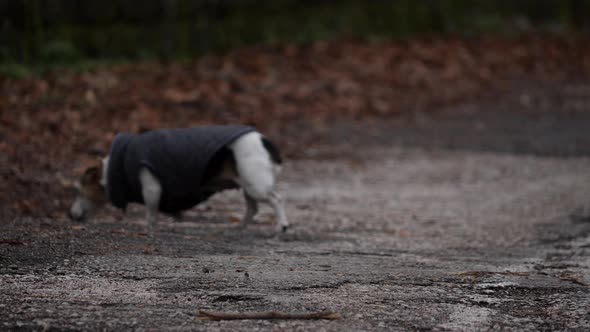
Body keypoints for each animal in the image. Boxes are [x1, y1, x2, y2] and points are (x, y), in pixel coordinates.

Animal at [70, 126, 292, 232]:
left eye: (78, 191)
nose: (71, 215)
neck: (111, 170)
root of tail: (264, 141)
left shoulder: (151, 187)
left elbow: (151, 214)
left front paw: (151, 228)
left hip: (255, 185)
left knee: (277, 199)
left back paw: (281, 225)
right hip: (247, 184)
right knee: (252, 208)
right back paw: (240, 227)